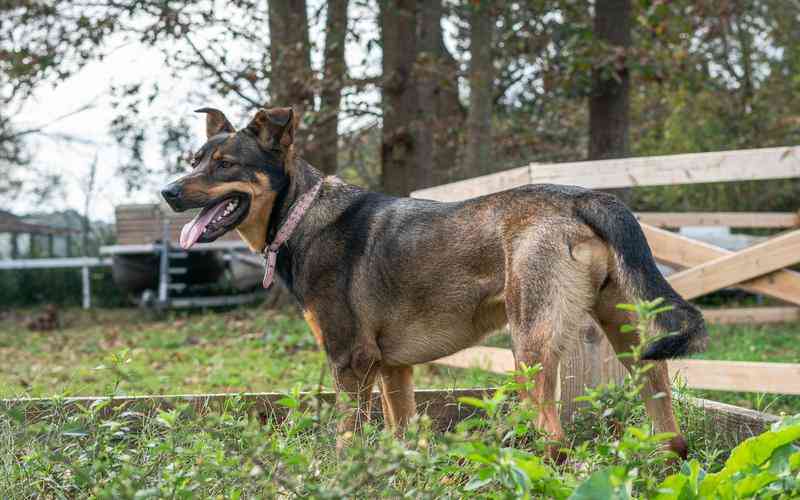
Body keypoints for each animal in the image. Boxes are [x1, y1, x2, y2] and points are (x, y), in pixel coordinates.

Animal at [161, 107, 708, 458]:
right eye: (194, 160)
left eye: (225, 164)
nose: (167, 192)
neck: (301, 213)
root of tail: (582, 197)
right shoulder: (392, 369)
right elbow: (399, 435)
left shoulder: (349, 361)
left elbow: (345, 439)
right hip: (628, 334)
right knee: (667, 420)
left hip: (530, 347)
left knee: (555, 442)